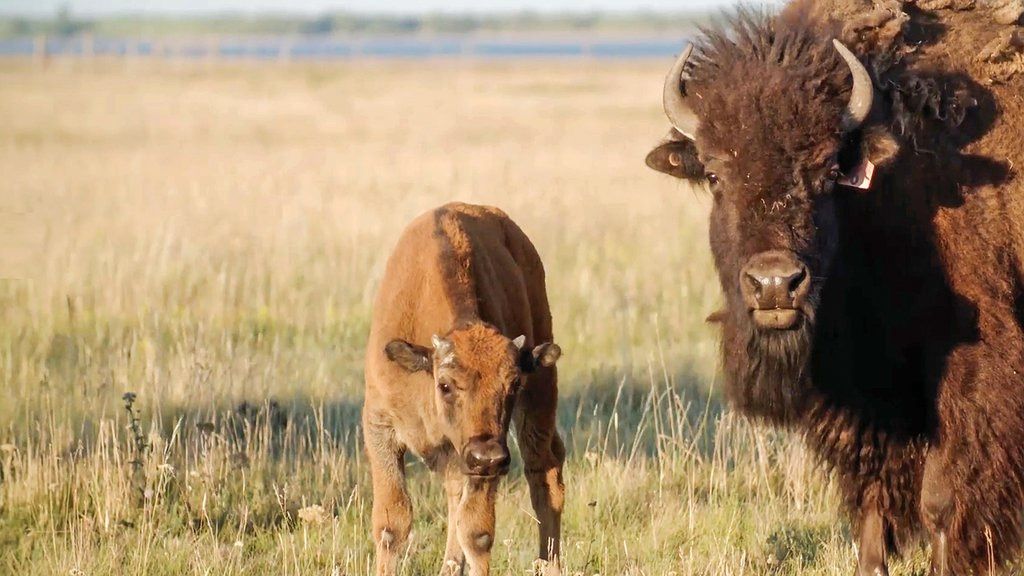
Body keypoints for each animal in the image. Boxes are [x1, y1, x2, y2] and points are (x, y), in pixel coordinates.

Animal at [362, 201, 569, 573]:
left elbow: (477, 533)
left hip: (540, 399)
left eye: (514, 384)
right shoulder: (379, 424)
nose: (487, 456)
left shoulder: (485, 458)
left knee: (544, 477)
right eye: (445, 384)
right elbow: (391, 525)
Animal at [647, 3, 1024, 573]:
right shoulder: (860, 397)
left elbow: (942, 499)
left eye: (826, 171)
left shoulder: (970, 372)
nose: (775, 285)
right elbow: (872, 498)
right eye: (714, 175)